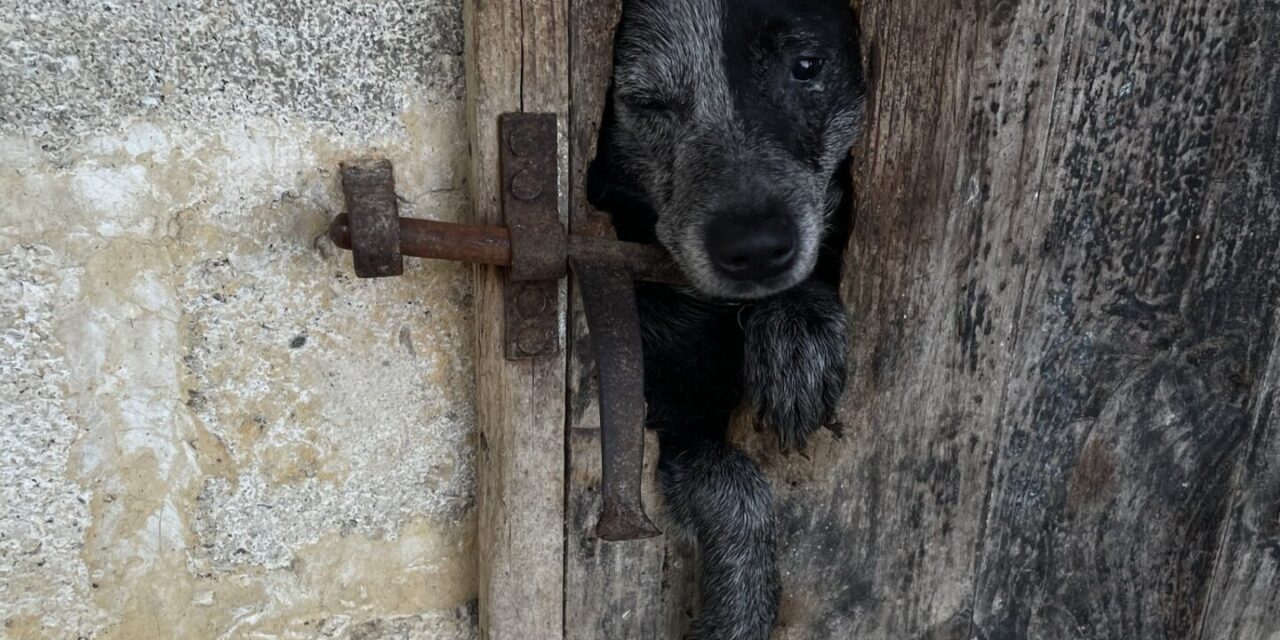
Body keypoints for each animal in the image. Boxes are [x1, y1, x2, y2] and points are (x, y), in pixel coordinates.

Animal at [588, 0, 870, 637]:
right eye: (648, 103)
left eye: (806, 65)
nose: (756, 247)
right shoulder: (664, 430)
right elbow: (736, 488)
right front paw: (739, 611)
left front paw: (797, 323)